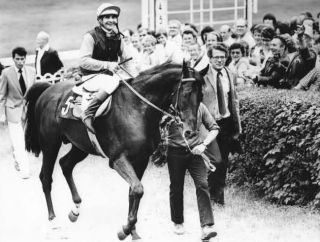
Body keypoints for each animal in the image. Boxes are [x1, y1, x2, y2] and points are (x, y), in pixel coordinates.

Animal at [25, 62, 205, 240]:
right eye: (186, 93)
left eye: (201, 95)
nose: (190, 132)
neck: (137, 108)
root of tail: (48, 89)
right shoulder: (118, 160)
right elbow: (138, 189)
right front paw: (125, 230)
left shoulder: (141, 160)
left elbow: (133, 192)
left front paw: (132, 231)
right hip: (50, 145)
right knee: (46, 178)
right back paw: (53, 220)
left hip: (81, 146)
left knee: (65, 165)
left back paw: (75, 209)